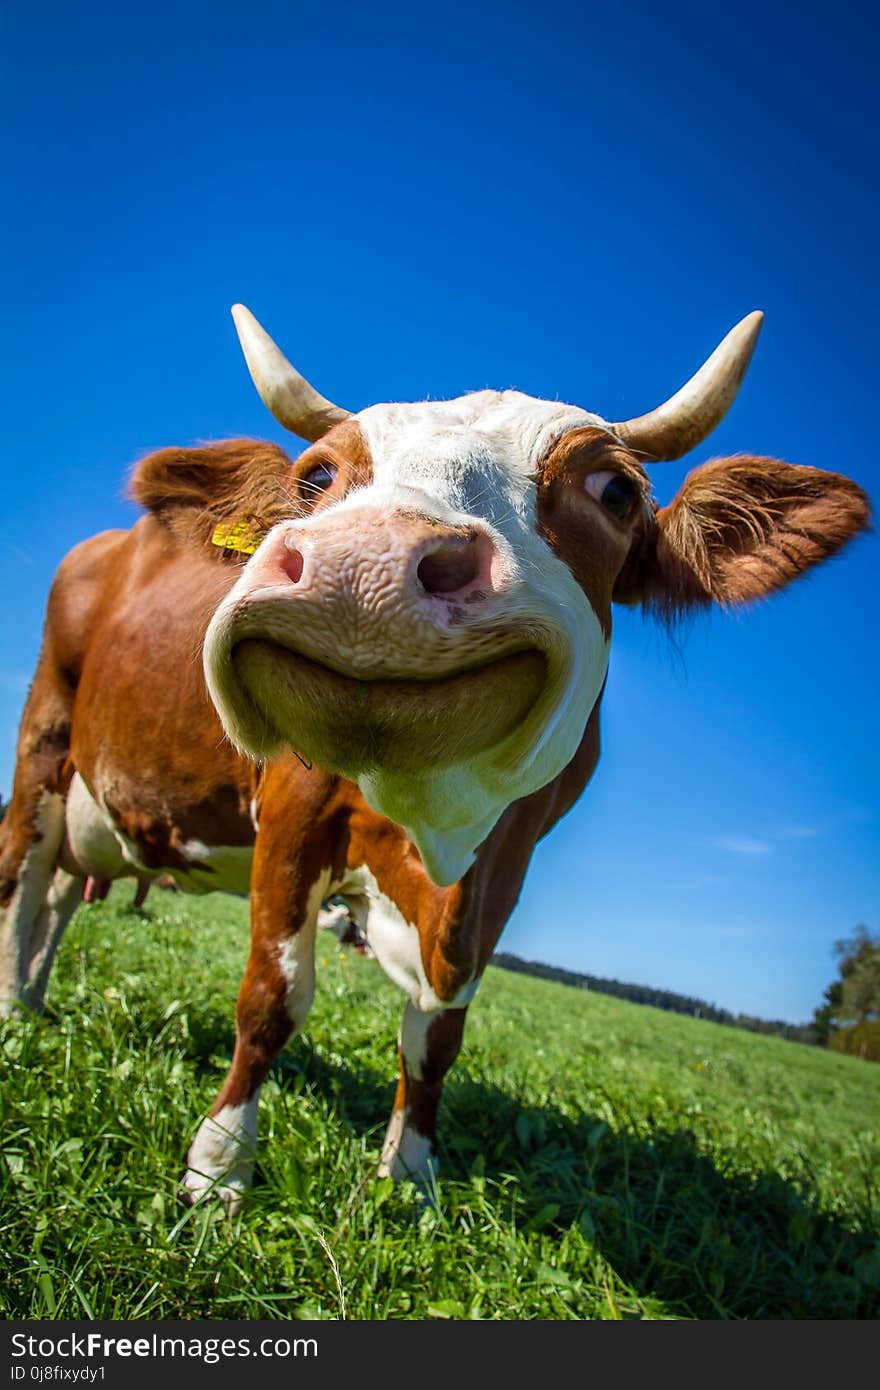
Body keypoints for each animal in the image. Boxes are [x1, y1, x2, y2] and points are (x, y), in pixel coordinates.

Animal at [0, 301, 867, 1206]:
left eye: (617, 491)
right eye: (316, 478)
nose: (363, 564)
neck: (433, 825)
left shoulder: (507, 863)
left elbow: (438, 1034)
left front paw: (411, 1173)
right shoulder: (293, 811)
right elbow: (273, 997)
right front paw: (219, 1167)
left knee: (59, 895)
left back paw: (37, 997)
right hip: (43, 742)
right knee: (22, 879)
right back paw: (15, 1015)